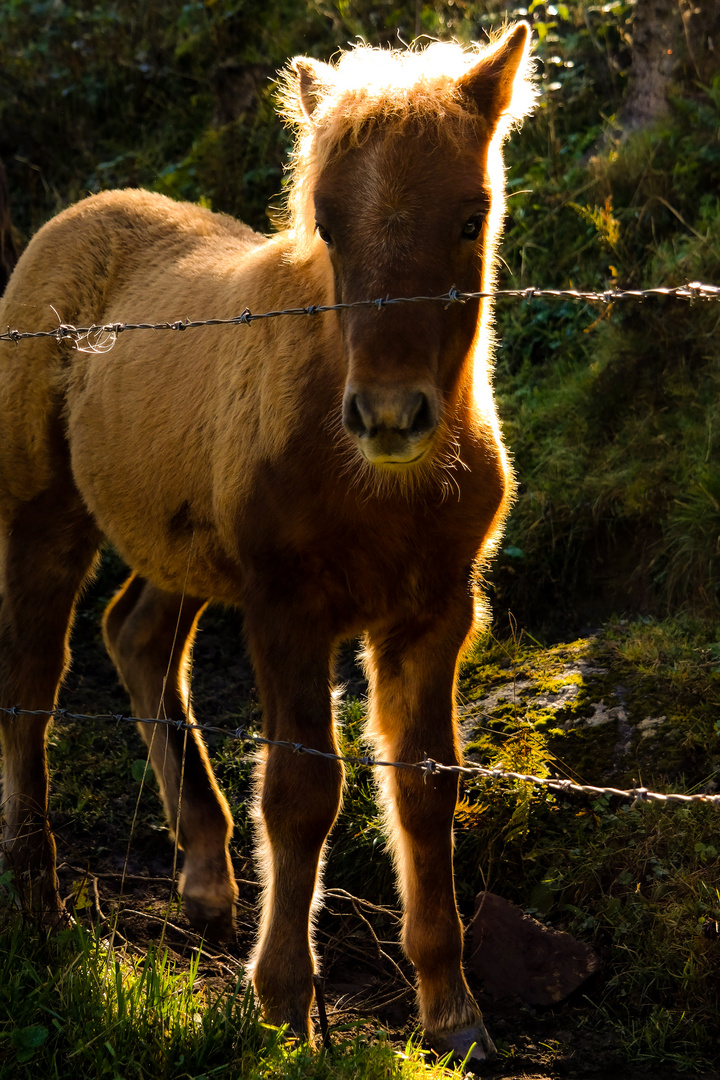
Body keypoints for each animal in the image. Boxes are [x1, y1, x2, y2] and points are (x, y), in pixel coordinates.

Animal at [0, 25, 535, 1062]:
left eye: (471, 215)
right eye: (327, 224)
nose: (390, 415)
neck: (378, 479)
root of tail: (71, 218)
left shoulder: (433, 614)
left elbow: (428, 788)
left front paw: (452, 1011)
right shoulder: (290, 608)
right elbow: (302, 789)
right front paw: (286, 1003)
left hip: (180, 547)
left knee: (136, 636)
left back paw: (206, 876)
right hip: (44, 516)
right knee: (32, 685)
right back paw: (39, 905)